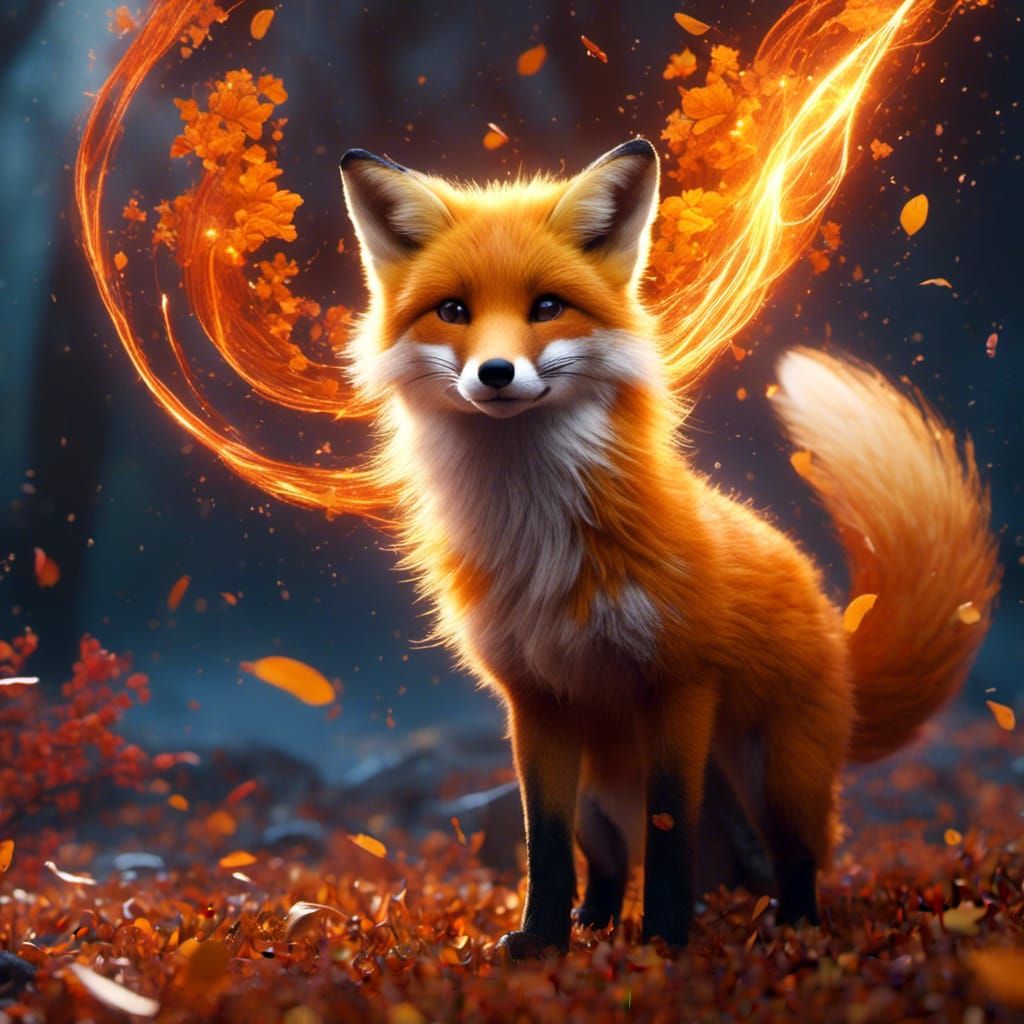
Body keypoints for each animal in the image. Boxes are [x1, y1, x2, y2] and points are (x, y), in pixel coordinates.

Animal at [338, 137, 1000, 957]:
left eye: (546, 307)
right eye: (454, 311)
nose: (494, 373)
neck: (538, 533)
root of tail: (837, 637)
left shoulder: (680, 686)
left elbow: (670, 829)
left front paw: (664, 941)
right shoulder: (537, 701)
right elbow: (544, 842)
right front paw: (542, 943)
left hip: (774, 778)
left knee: (795, 858)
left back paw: (795, 931)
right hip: (601, 794)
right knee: (611, 863)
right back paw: (594, 926)